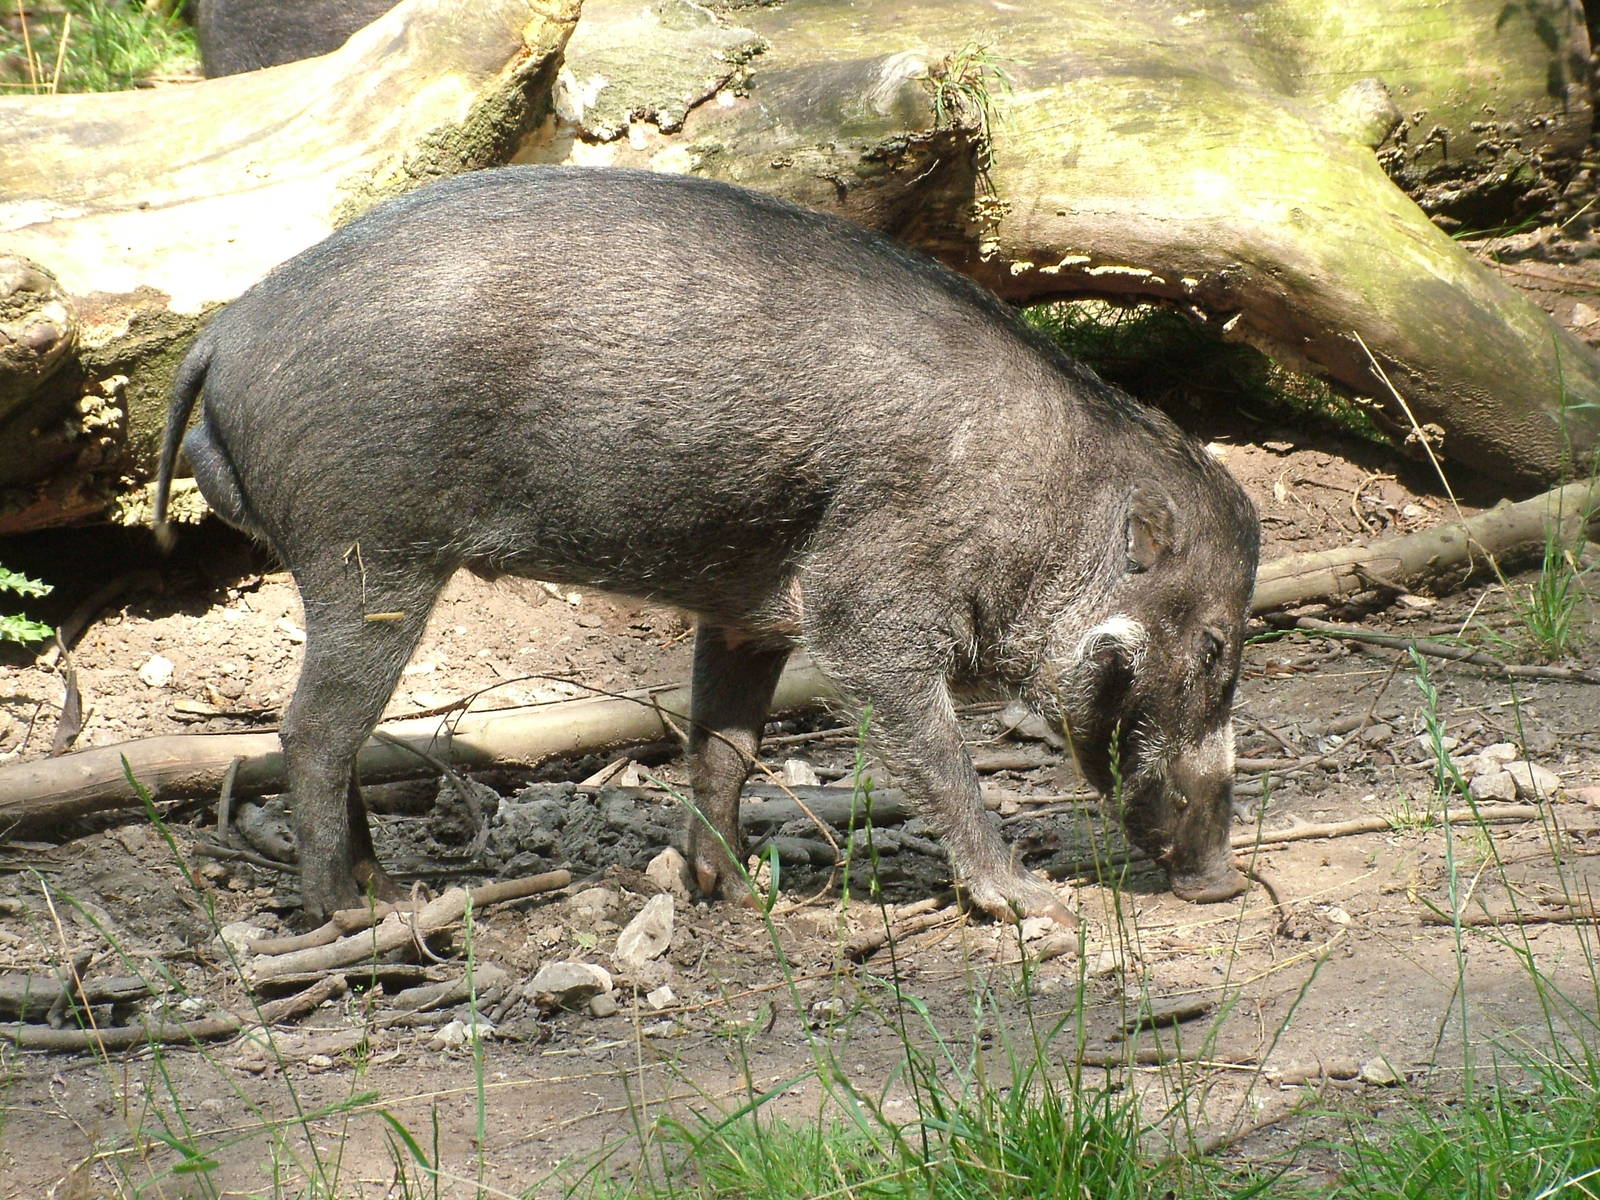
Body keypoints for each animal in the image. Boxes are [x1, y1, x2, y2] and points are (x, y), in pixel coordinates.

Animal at [153, 165, 1259, 925]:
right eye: (1214, 647)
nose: (1223, 883)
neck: (1039, 502)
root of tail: (224, 333)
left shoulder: (747, 612)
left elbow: (725, 745)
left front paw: (730, 891)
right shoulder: (867, 610)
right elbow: (936, 751)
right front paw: (1030, 904)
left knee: (333, 735)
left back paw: (381, 886)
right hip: (372, 555)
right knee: (311, 730)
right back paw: (355, 911)